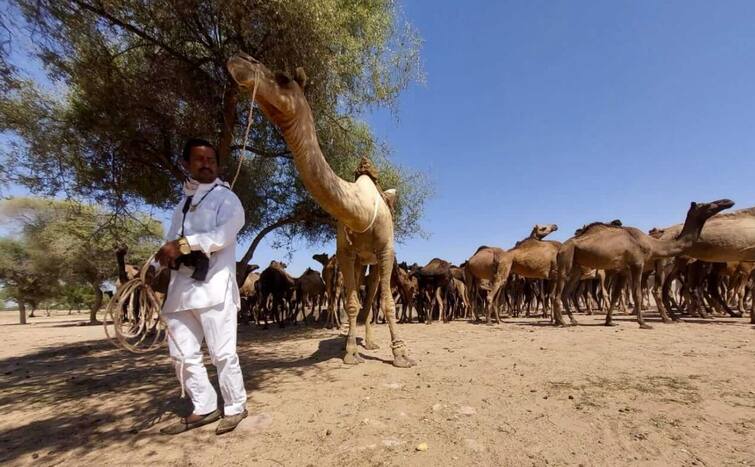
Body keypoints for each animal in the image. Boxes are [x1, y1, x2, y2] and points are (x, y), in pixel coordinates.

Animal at [227, 54, 416, 368]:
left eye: (282, 78)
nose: (239, 61)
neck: (361, 208)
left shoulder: (387, 251)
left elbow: (387, 301)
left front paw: (400, 354)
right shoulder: (346, 253)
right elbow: (351, 302)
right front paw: (350, 352)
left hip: (376, 261)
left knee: (374, 295)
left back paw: (372, 341)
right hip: (360, 260)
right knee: (360, 297)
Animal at [552, 198, 736, 330]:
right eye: (707, 204)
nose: (728, 201)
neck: (652, 244)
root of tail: (562, 247)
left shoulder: (623, 269)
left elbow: (616, 295)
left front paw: (609, 321)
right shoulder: (637, 264)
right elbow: (637, 294)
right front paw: (644, 323)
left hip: (577, 267)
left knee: (566, 293)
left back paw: (572, 320)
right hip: (566, 260)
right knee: (558, 292)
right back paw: (562, 322)